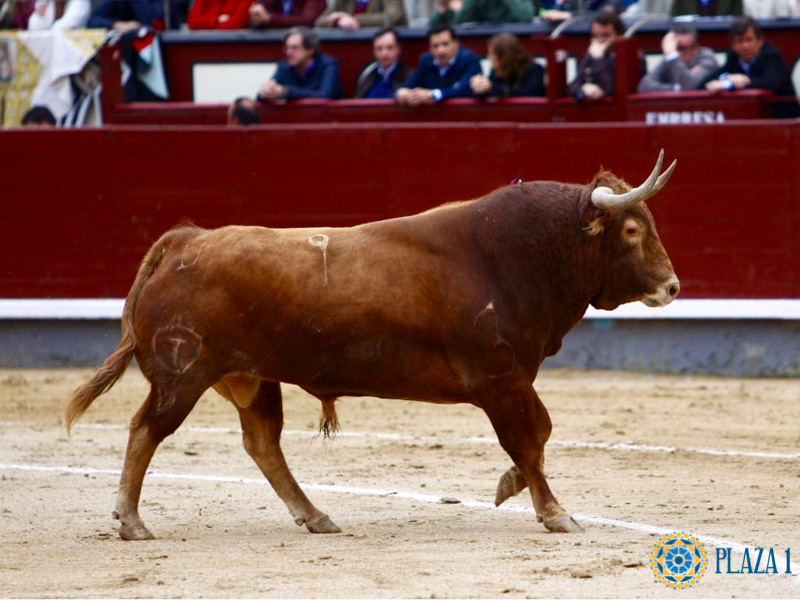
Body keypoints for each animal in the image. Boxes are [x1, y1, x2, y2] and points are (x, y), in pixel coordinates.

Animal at [66, 150, 679, 540]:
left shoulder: (514, 379)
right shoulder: (500, 378)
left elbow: (541, 433)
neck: (520, 253)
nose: (672, 286)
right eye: (631, 231)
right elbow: (528, 441)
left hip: (252, 378)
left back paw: (316, 517)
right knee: (146, 431)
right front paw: (555, 514)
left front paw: (510, 488)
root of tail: (186, 240)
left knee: (262, 444)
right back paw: (132, 522)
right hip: (184, 375)